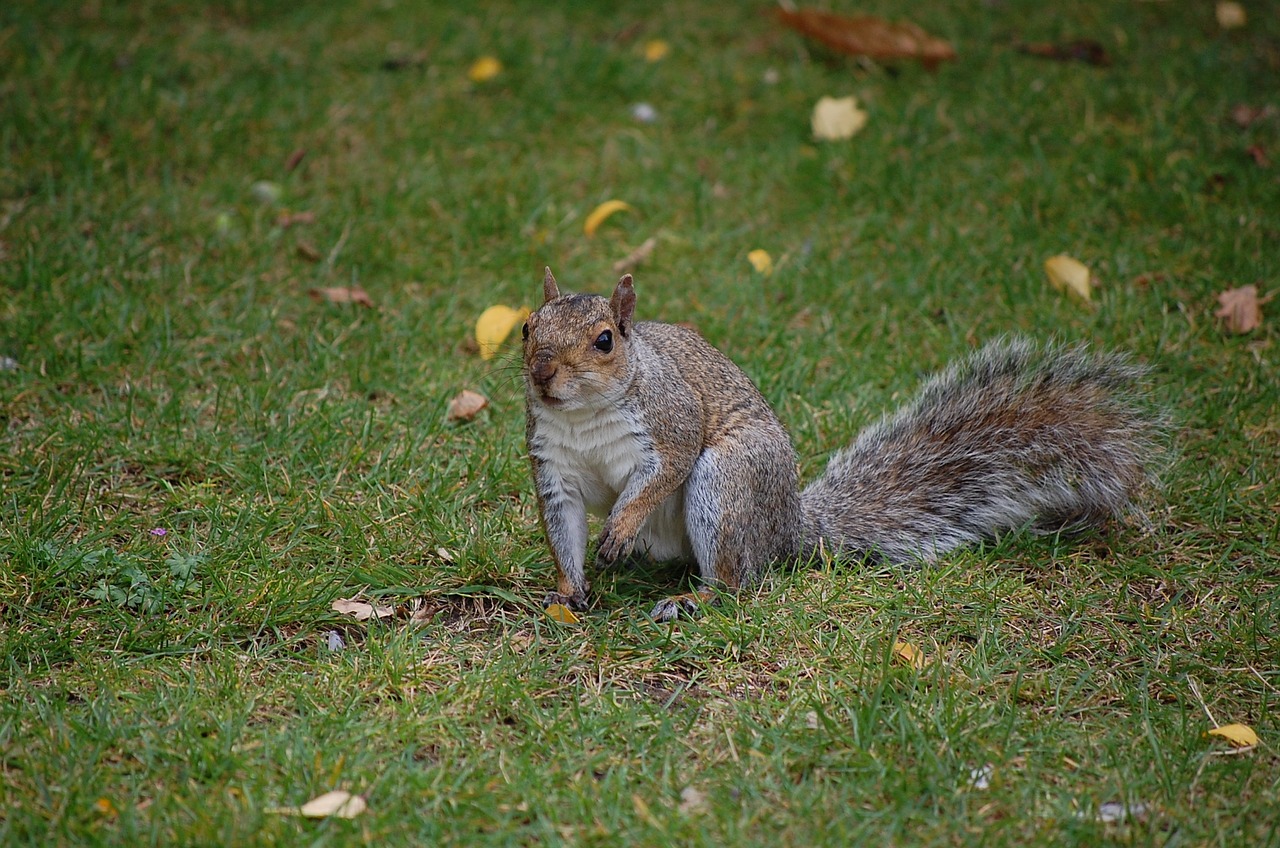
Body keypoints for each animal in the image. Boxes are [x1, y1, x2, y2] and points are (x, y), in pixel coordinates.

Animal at [519, 269, 1162, 622]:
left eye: (605, 340)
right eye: (527, 327)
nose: (542, 373)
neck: (583, 416)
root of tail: (788, 528)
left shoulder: (671, 423)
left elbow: (660, 475)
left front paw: (619, 529)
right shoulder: (554, 469)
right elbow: (564, 531)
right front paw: (567, 594)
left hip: (727, 483)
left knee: (736, 580)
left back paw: (693, 600)